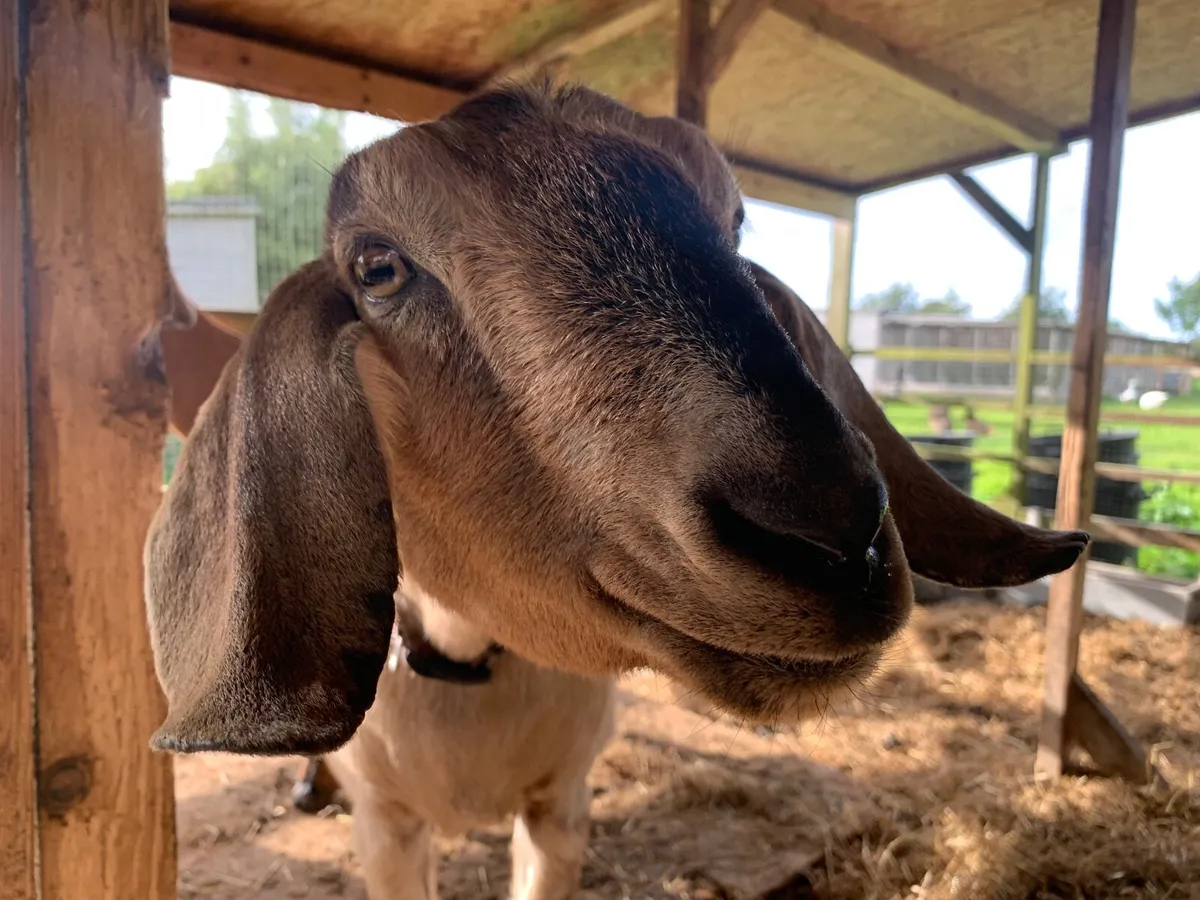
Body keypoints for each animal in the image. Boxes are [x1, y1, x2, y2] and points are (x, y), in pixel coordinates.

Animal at [146, 82, 1089, 900]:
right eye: (377, 267)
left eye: (734, 219)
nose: (830, 534)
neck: (467, 672)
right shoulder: (388, 828)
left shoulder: (560, 808)